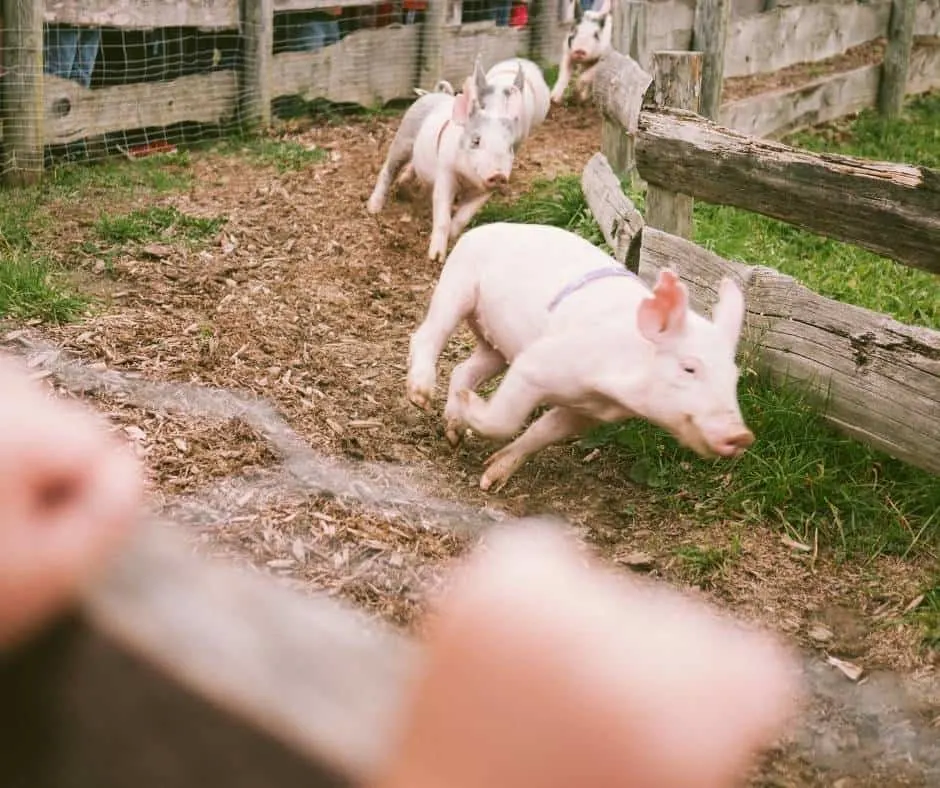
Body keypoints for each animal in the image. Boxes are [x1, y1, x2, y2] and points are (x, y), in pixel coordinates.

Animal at [406, 223, 756, 492]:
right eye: (689, 368)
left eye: (734, 377)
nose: (742, 435)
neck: (606, 392)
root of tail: (485, 227)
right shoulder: (536, 365)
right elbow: (504, 420)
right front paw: (472, 409)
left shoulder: (586, 414)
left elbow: (542, 432)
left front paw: (491, 477)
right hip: (457, 285)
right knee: (427, 334)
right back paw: (421, 396)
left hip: (497, 346)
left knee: (464, 368)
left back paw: (453, 432)